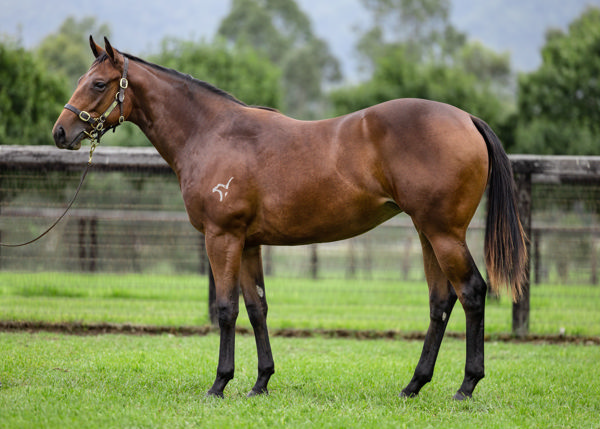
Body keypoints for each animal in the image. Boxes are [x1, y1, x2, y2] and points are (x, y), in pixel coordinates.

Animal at [54, 36, 528, 398]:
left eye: (98, 83)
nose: (61, 132)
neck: (211, 133)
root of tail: (466, 118)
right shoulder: (248, 243)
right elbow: (257, 308)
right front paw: (260, 383)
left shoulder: (222, 237)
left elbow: (226, 308)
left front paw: (219, 384)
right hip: (427, 232)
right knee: (440, 302)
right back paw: (414, 385)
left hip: (444, 233)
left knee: (472, 292)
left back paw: (466, 386)